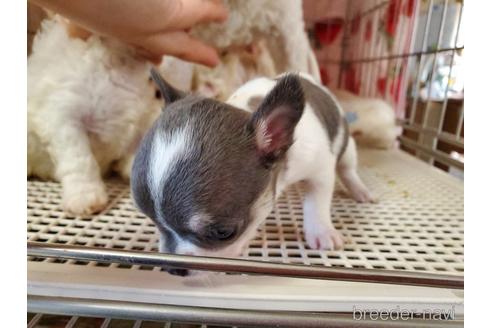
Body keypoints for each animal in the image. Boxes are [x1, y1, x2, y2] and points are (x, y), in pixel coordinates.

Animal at [132, 69, 372, 276]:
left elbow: (317, 202)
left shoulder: (320, 170)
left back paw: (361, 191)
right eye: (153, 222)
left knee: (347, 169)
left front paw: (321, 231)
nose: (174, 268)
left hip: (347, 147)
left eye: (223, 232)